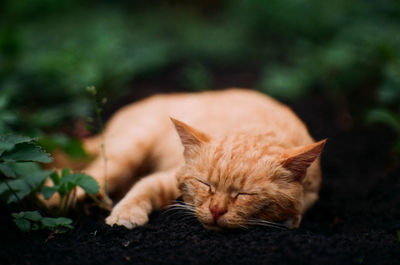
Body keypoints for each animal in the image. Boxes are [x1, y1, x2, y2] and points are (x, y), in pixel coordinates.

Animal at [79, 88, 324, 229]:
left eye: (245, 194)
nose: (216, 211)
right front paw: (125, 214)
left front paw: (292, 219)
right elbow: (144, 186)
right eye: (205, 184)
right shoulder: (169, 177)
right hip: (127, 149)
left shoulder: (312, 194)